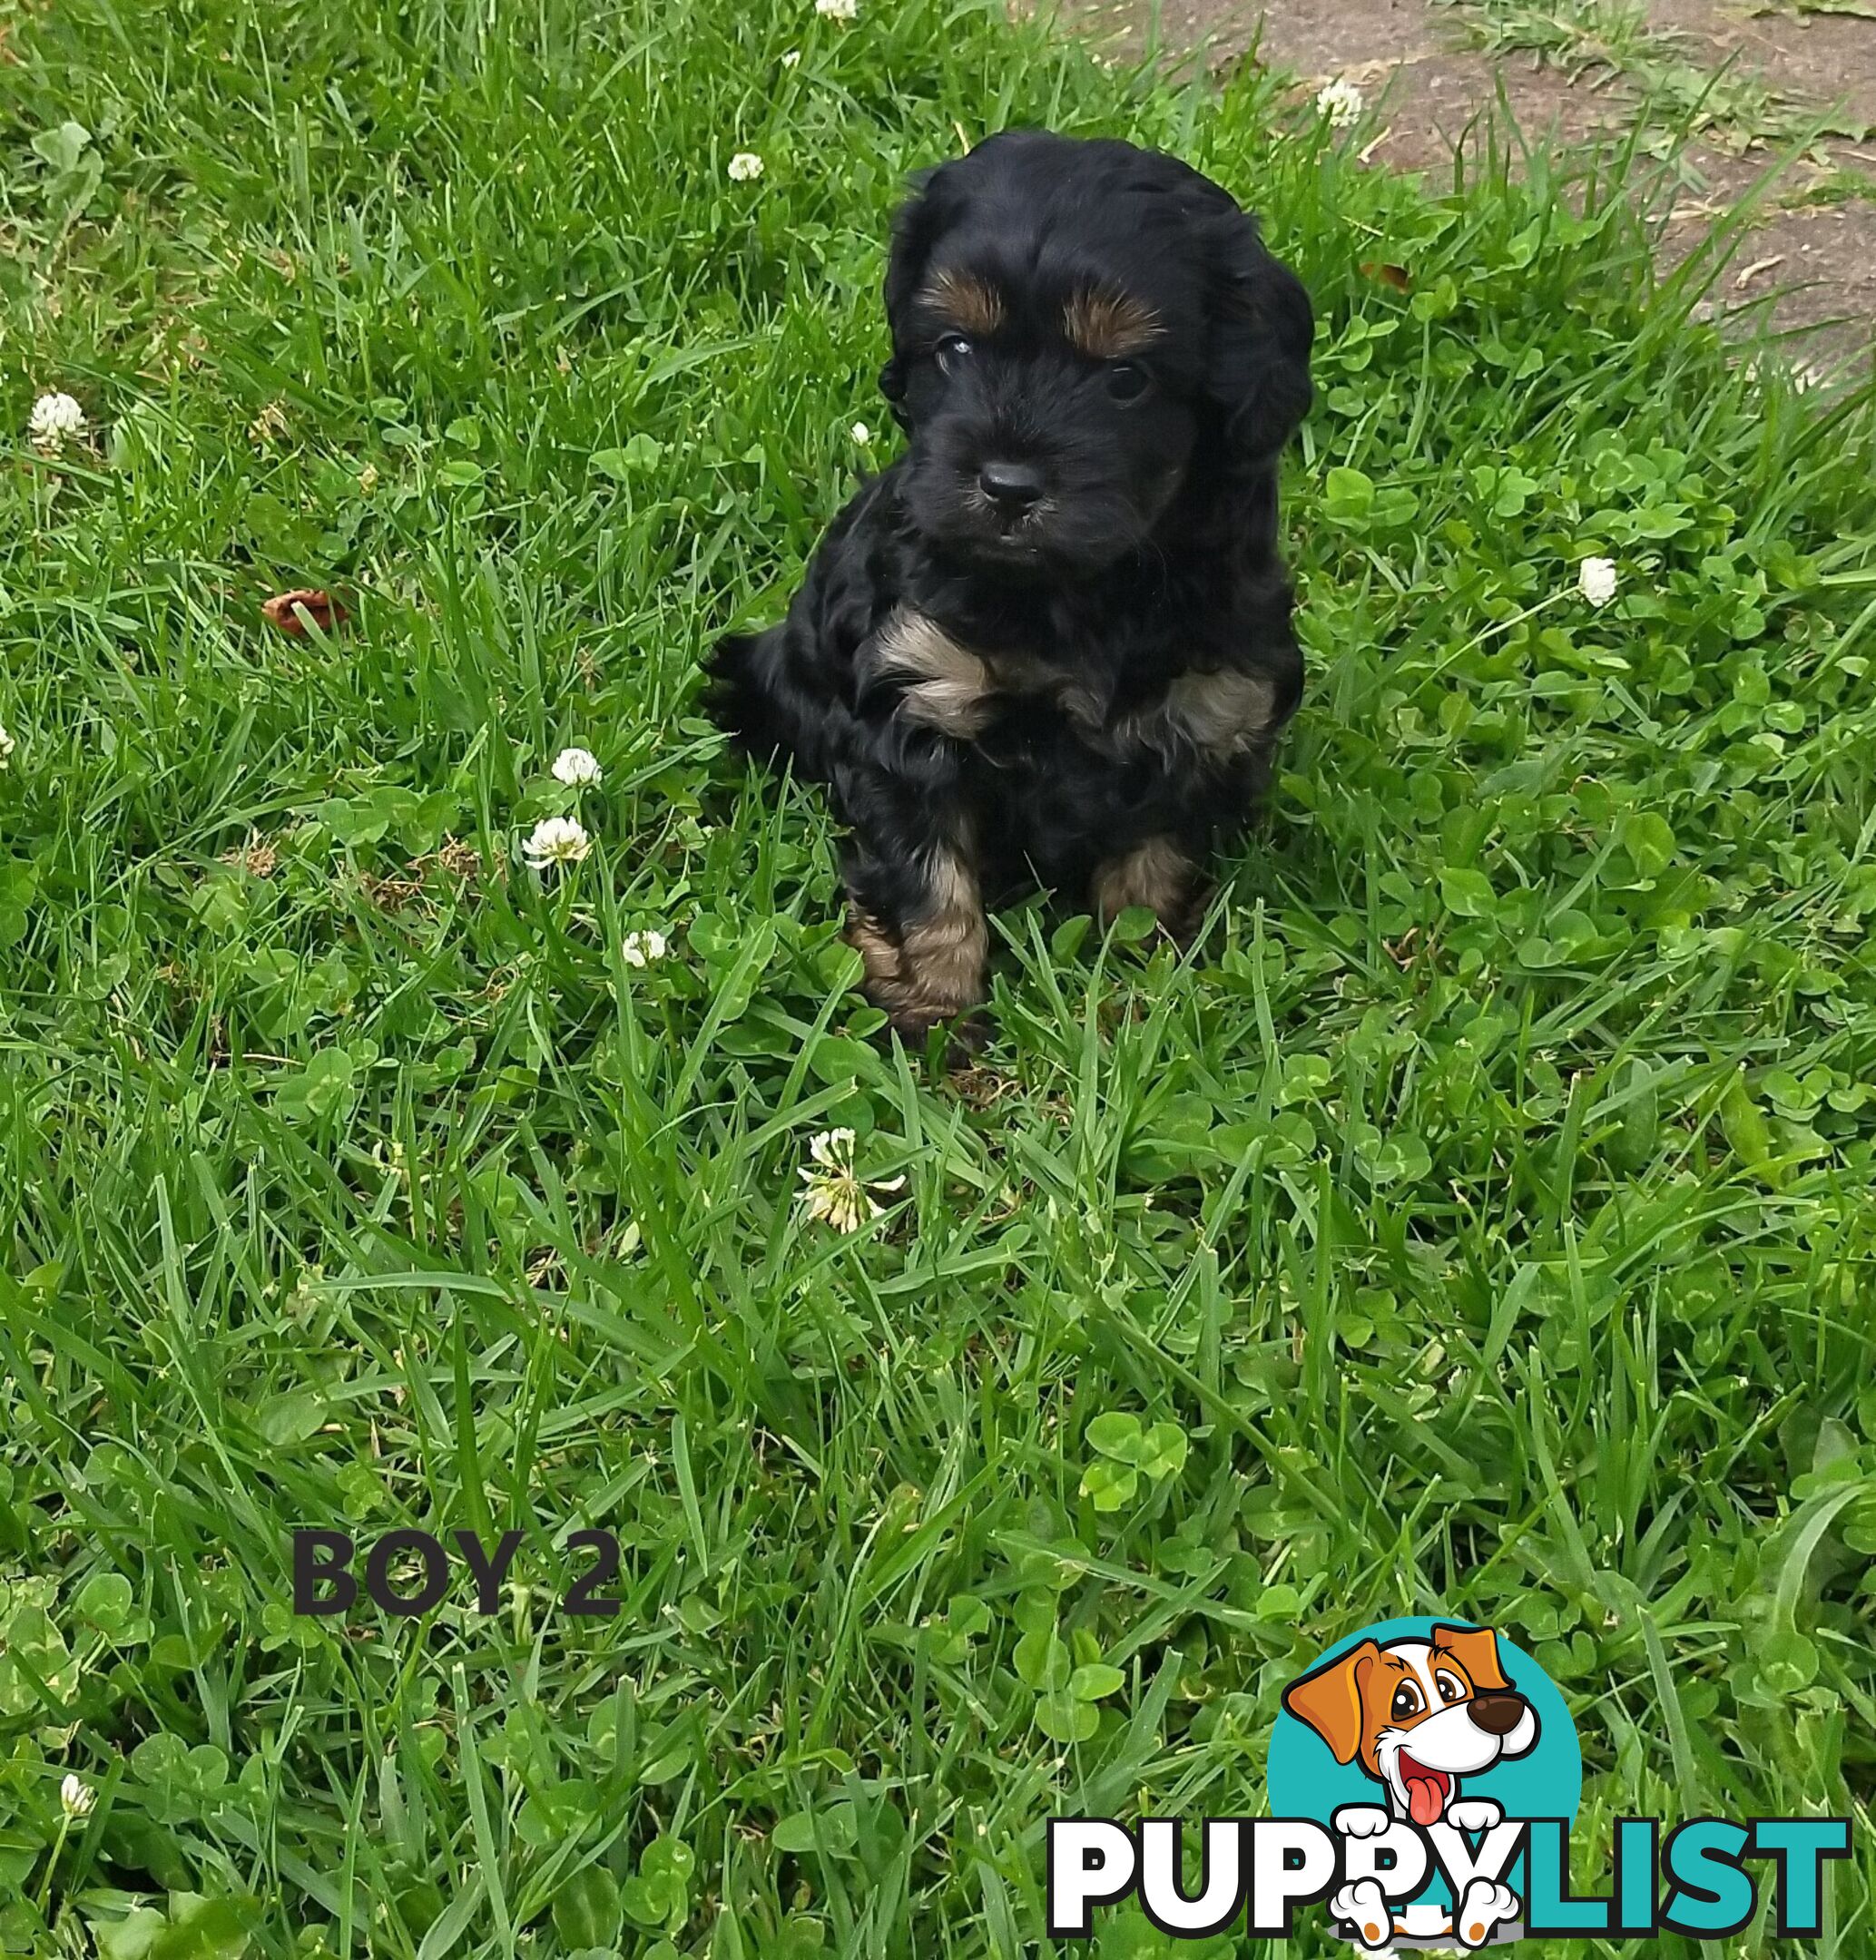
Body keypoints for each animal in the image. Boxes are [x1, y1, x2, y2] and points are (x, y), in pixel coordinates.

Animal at [709, 130, 1309, 1043]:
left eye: (1125, 380)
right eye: (955, 349)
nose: (1006, 485)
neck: (1077, 592)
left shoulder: (1207, 712)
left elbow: (1155, 858)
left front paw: (1138, 975)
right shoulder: (913, 700)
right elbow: (926, 871)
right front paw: (929, 1001)